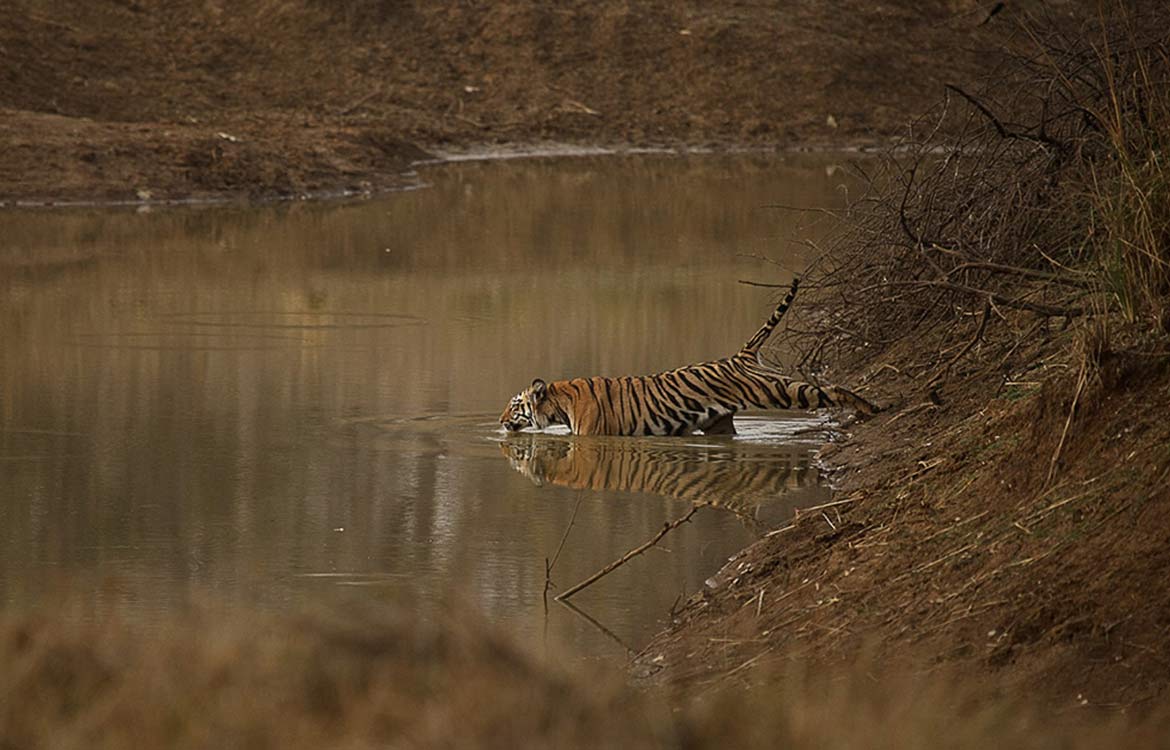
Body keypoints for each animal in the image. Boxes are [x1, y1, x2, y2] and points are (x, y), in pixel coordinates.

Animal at [496, 279, 879, 432]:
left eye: (515, 406)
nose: (499, 422)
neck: (559, 403)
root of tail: (739, 355)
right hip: (718, 423)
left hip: (778, 391)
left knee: (829, 389)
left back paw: (871, 408)